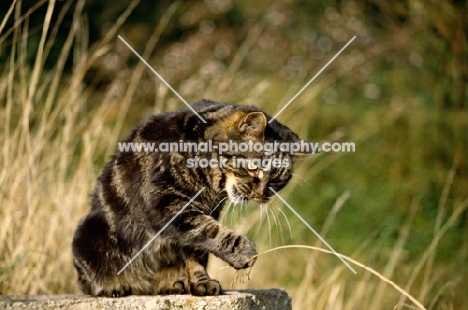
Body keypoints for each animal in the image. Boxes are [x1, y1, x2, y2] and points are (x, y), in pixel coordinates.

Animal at [73, 100, 312, 298]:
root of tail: (145, 287)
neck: (212, 180)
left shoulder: (201, 213)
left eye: (277, 182)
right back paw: (115, 285)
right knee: (88, 283)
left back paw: (172, 283)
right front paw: (243, 252)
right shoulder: (167, 203)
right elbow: (213, 232)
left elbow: (196, 251)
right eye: (255, 168)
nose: (260, 194)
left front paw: (200, 283)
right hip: (87, 234)